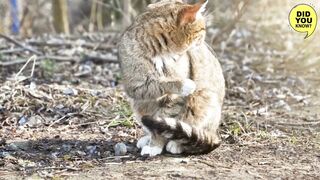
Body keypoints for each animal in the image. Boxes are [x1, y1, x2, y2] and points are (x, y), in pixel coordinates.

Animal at [117, 0, 225, 155]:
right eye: (202, 30)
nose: (205, 41)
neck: (159, 52)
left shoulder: (173, 101)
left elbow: (162, 123)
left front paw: (155, 145)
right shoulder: (136, 85)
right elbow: (158, 84)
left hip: (204, 98)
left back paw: (176, 143)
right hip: (138, 106)